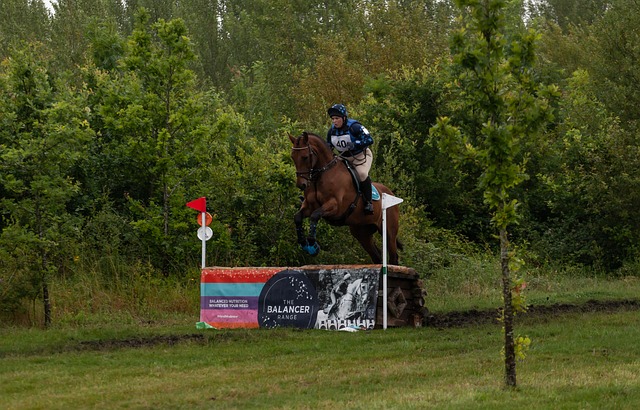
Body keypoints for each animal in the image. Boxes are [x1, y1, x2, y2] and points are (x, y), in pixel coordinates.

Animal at [288, 132, 400, 266]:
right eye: (293, 157)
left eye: (305, 157)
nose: (301, 185)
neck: (322, 174)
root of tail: (391, 193)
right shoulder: (309, 206)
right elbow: (297, 217)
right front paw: (304, 244)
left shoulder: (335, 206)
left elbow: (315, 216)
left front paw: (312, 245)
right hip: (362, 232)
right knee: (376, 256)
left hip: (388, 231)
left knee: (393, 256)